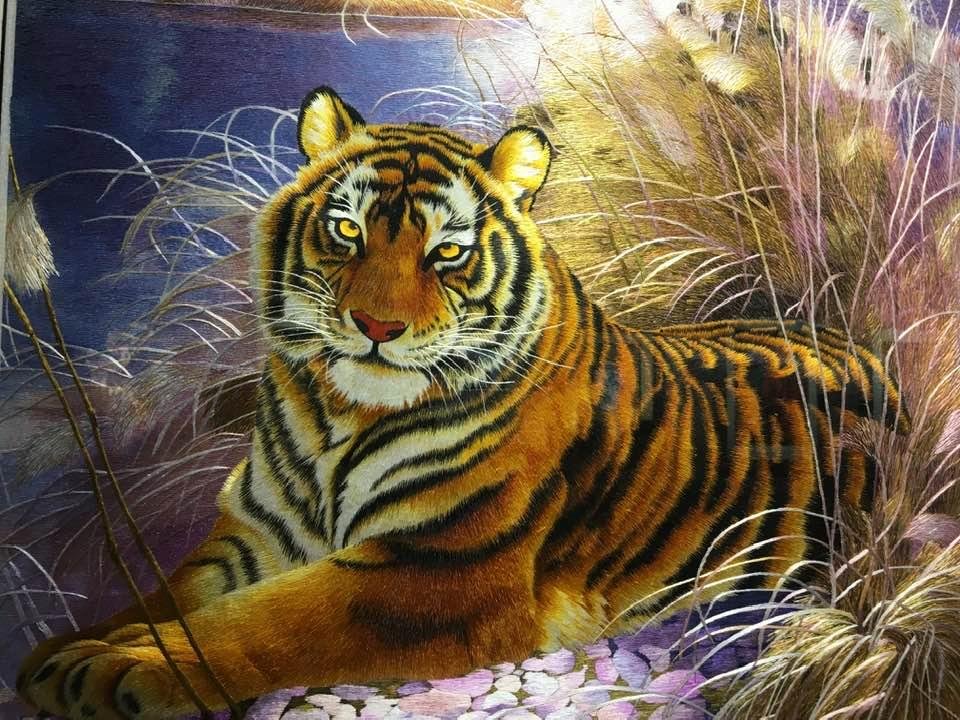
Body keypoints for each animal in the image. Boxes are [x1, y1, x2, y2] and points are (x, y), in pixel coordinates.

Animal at [18, 86, 907, 720]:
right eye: (347, 231)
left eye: (446, 251)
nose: (377, 325)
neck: (341, 419)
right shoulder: (254, 536)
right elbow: (175, 596)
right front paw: (66, 653)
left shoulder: (440, 567)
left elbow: (260, 622)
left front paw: (117, 668)